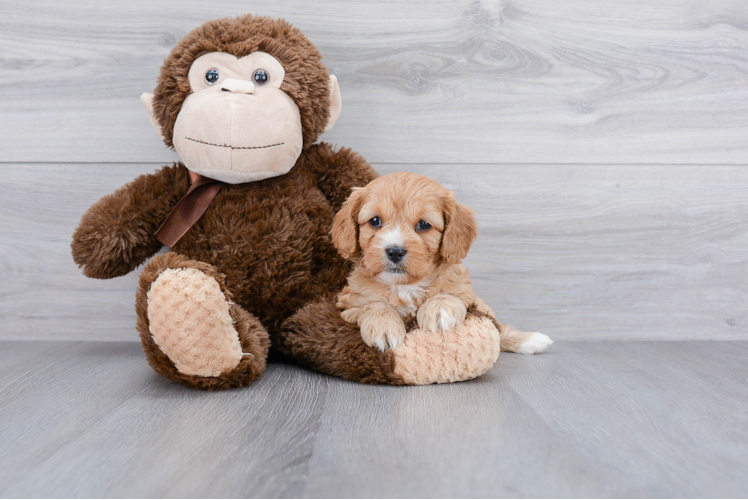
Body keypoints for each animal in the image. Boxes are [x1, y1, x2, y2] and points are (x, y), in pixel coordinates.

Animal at [330, 172, 552, 352]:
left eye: (423, 225)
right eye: (375, 221)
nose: (394, 251)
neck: (406, 286)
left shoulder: (469, 297)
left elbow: (453, 296)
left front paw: (439, 309)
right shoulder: (349, 304)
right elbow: (373, 305)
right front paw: (383, 326)